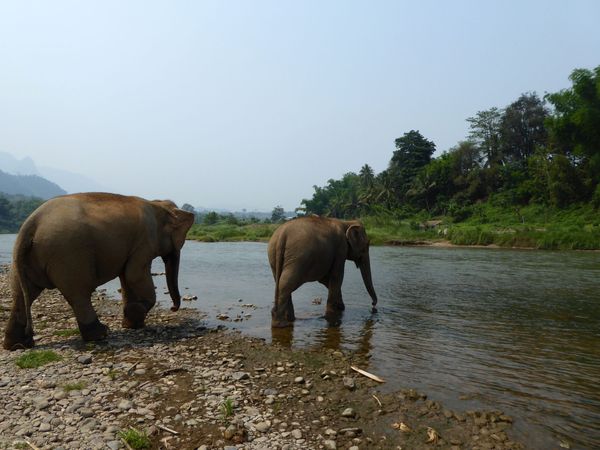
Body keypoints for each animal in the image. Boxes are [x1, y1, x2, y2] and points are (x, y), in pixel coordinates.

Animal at [2, 192, 195, 350]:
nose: (173, 308)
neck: (157, 204)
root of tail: (31, 223)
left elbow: (126, 277)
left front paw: (131, 324)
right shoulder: (145, 240)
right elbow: (134, 275)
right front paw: (133, 316)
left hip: (24, 259)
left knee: (21, 294)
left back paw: (17, 345)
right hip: (69, 255)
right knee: (79, 294)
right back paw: (101, 334)